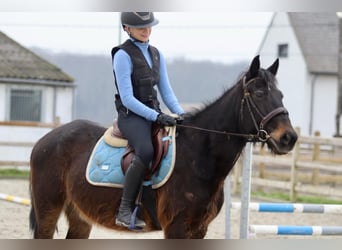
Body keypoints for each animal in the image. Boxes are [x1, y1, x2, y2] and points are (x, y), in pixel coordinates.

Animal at [28, 55, 296, 239]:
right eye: (259, 94)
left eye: (282, 95)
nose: (289, 138)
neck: (199, 157)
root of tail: (44, 140)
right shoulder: (176, 227)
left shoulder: (200, 229)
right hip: (48, 211)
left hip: (80, 216)